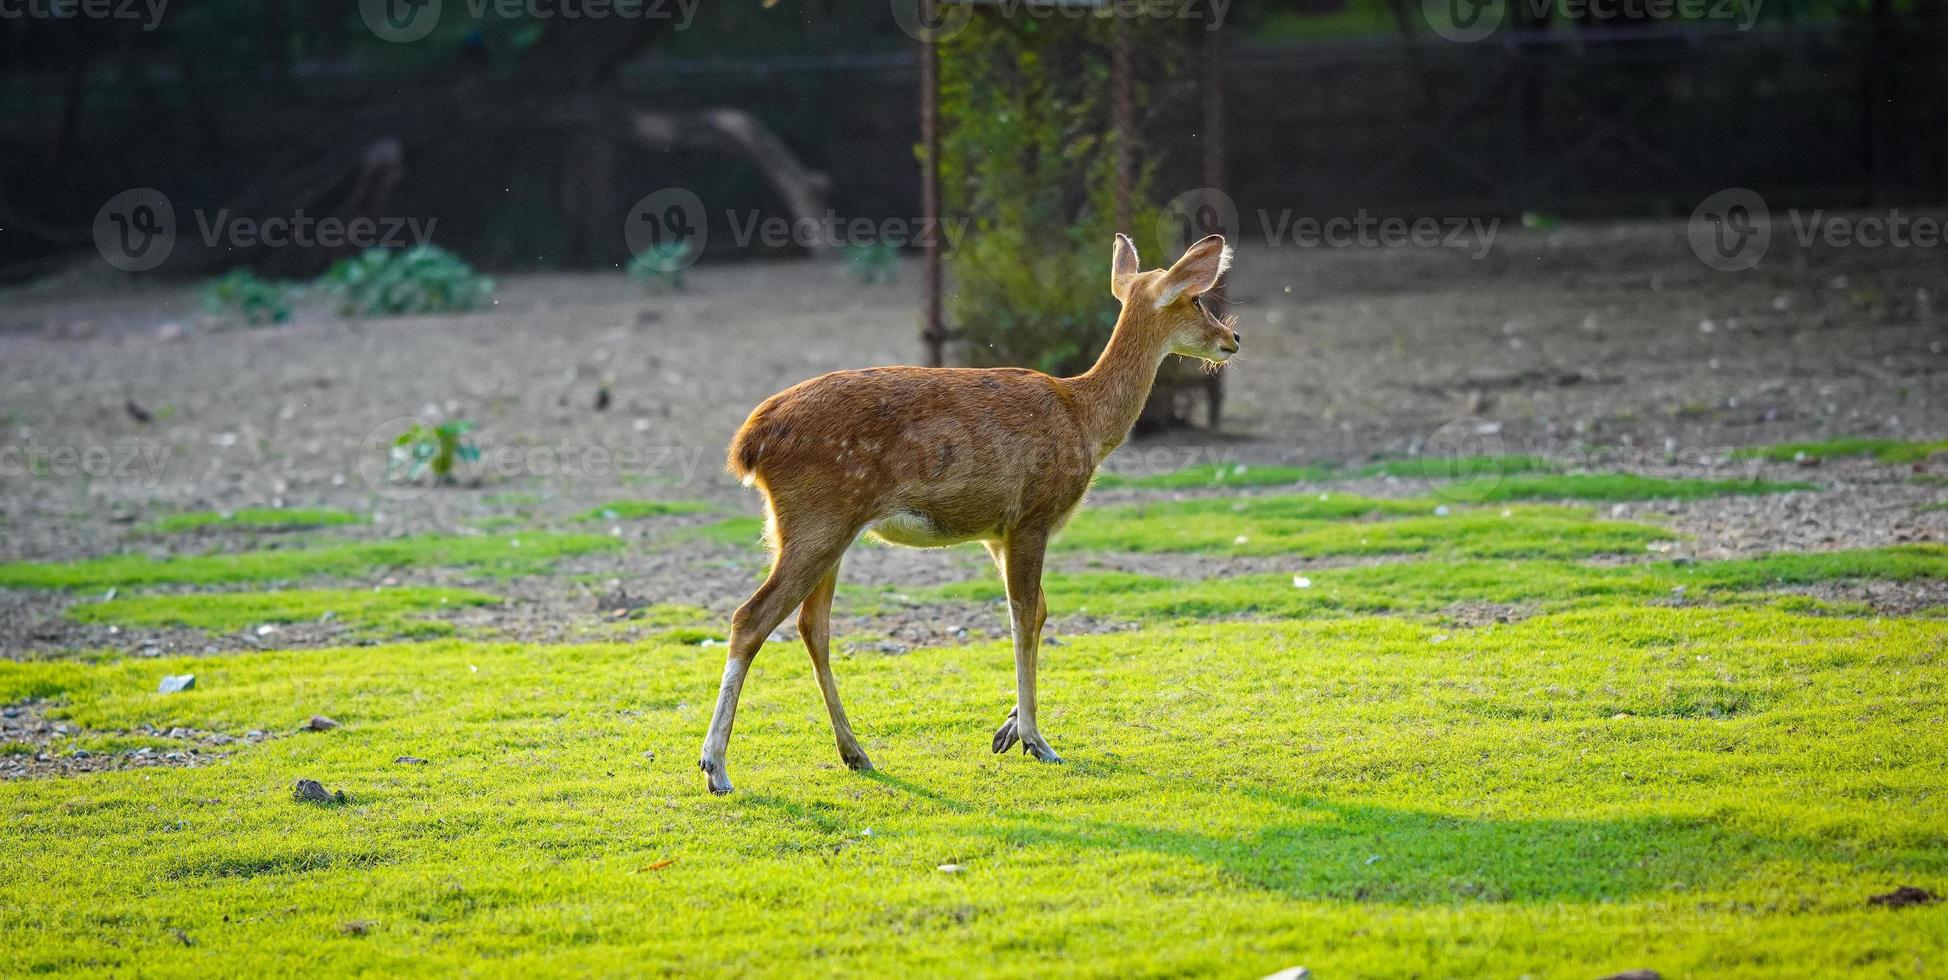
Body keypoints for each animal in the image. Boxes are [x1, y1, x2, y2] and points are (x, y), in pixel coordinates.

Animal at [709, 233, 1238, 794]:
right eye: (1197, 299)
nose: (1234, 337)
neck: (1085, 419)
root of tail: (749, 445)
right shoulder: (1032, 513)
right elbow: (1023, 615)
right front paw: (1036, 740)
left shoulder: (995, 530)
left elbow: (1037, 610)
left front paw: (1007, 730)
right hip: (818, 518)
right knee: (752, 617)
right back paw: (716, 767)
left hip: (819, 527)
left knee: (813, 626)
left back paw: (855, 753)